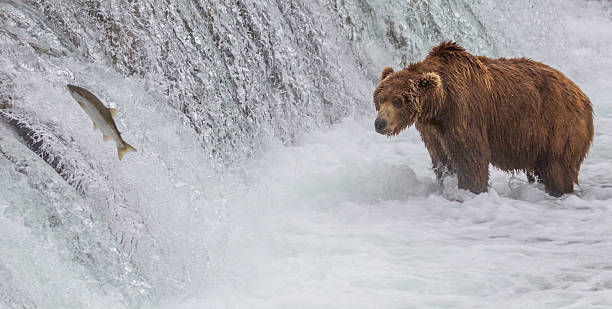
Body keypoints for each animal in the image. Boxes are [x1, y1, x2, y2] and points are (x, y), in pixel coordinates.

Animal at [372, 41, 592, 196]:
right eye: (380, 98)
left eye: (398, 101)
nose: (380, 123)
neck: (439, 106)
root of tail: (583, 96)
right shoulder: (431, 130)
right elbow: (442, 158)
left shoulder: (463, 113)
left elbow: (471, 156)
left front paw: (471, 190)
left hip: (558, 128)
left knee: (558, 170)